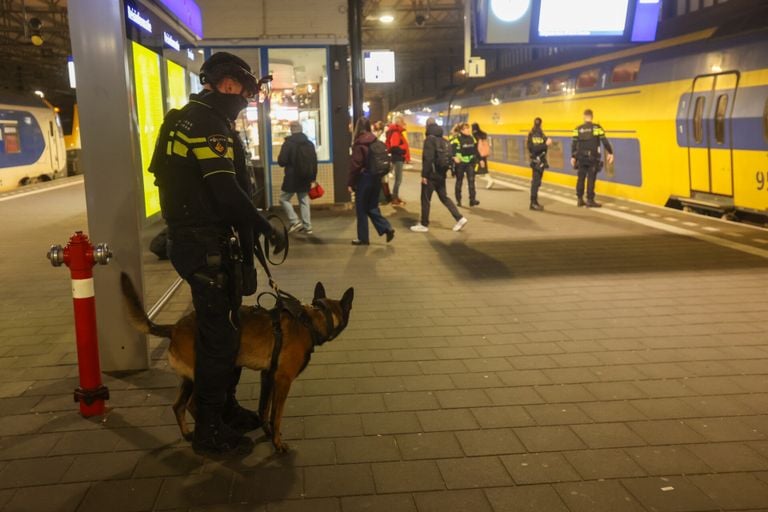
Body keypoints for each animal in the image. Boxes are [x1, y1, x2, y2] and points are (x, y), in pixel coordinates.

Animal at [120, 272, 354, 452]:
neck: (312, 320)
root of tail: (174, 328)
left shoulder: (268, 377)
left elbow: (264, 408)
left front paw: (266, 431)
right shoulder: (283, 380)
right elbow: (276, 415)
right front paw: (277, 443)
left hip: (190, 379)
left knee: (178, 406)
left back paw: (188, 433)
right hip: (211, 374)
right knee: (194, 405)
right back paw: (211, 436)